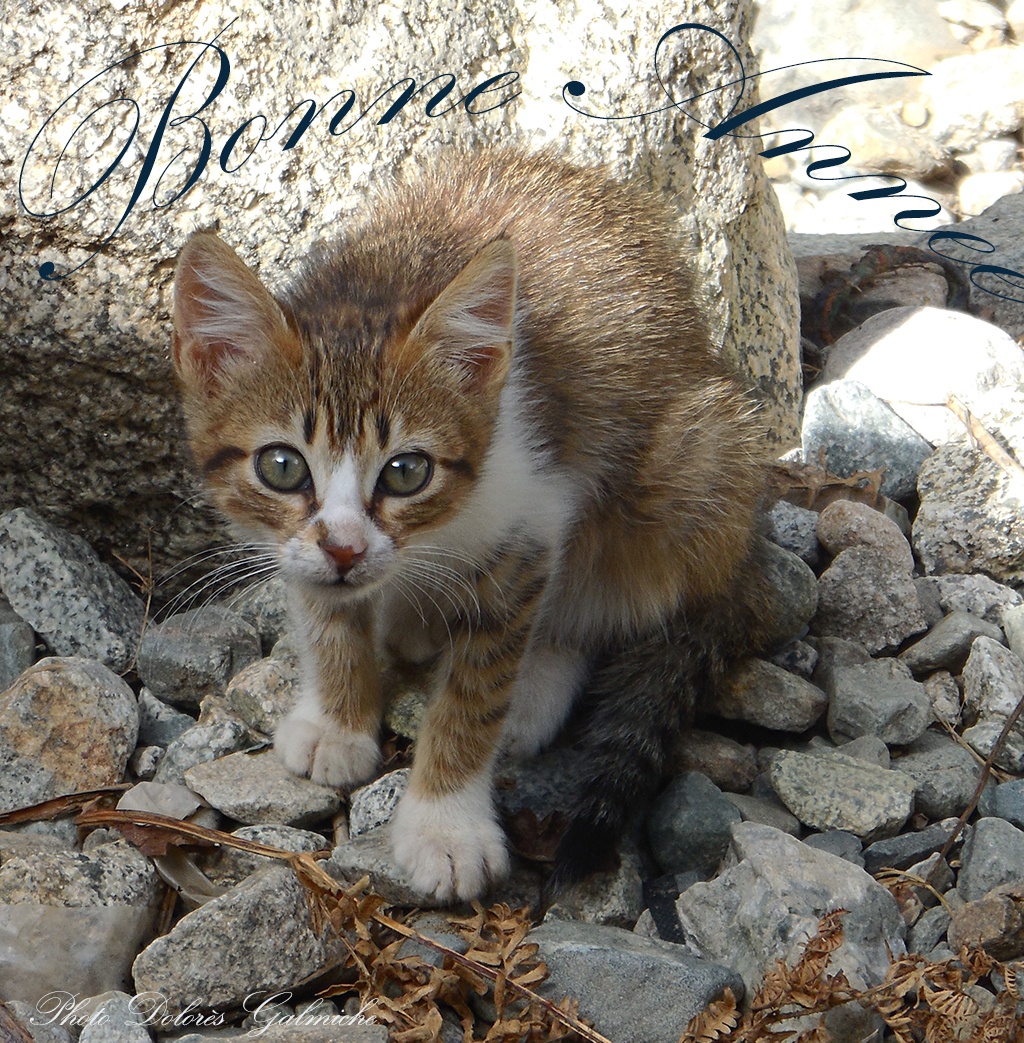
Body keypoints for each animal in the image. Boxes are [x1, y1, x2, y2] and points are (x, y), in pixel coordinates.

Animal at [169, 149, 775, 905]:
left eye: (406, 472)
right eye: (282, 466)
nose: (345, 549)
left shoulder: (534, 516)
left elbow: (476, 691)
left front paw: (445, 825)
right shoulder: (299, 548)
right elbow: (325, 612)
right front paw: (339, 715)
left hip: (692, 472)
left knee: (607, 602)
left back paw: (536, 684)